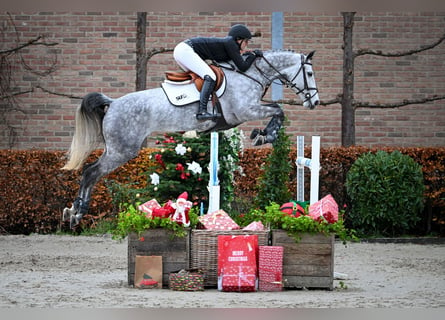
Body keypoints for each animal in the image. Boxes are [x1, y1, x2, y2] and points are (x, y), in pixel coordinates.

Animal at [62, 50, 320, 228]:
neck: (251, 75)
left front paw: (263, 134)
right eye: (309, 73)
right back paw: (77, 213)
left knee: (90, 172)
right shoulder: (245, 111)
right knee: (91, 172)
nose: (315, 102)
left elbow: (276, 109)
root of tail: (113, 103)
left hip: (116, 149)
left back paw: (72, 212)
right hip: (122, 150)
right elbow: (278, 110)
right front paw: (265, 135)